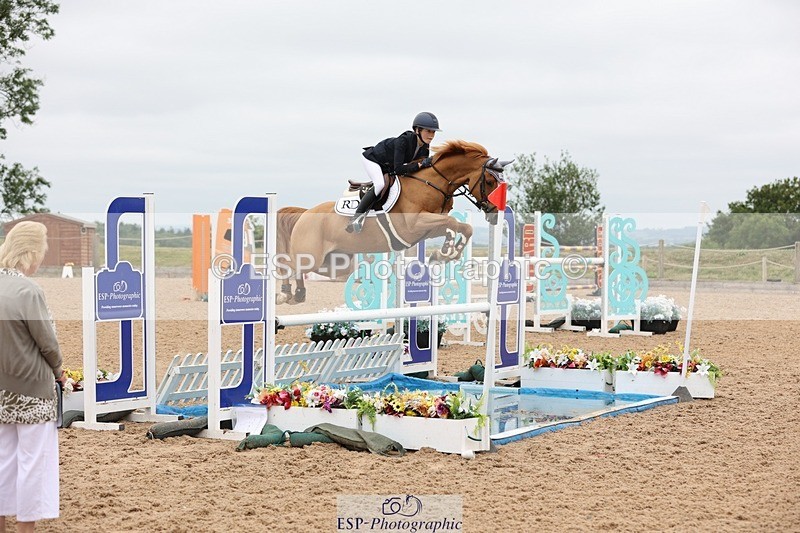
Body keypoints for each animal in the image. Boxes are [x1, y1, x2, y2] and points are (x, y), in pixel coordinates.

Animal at [276, 139, 512, 304]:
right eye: (489, 181)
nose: (494, 213)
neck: (432, 182)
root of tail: (305, 213)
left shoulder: (428, 227)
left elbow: (462, 227)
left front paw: (443, 254)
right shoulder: (415, 224)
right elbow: (454, 224)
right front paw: (446, 252)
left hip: (335, 263)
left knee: (298, 269)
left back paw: (298, 294)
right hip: (312, 256)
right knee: (287, 265)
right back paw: (285, 294)